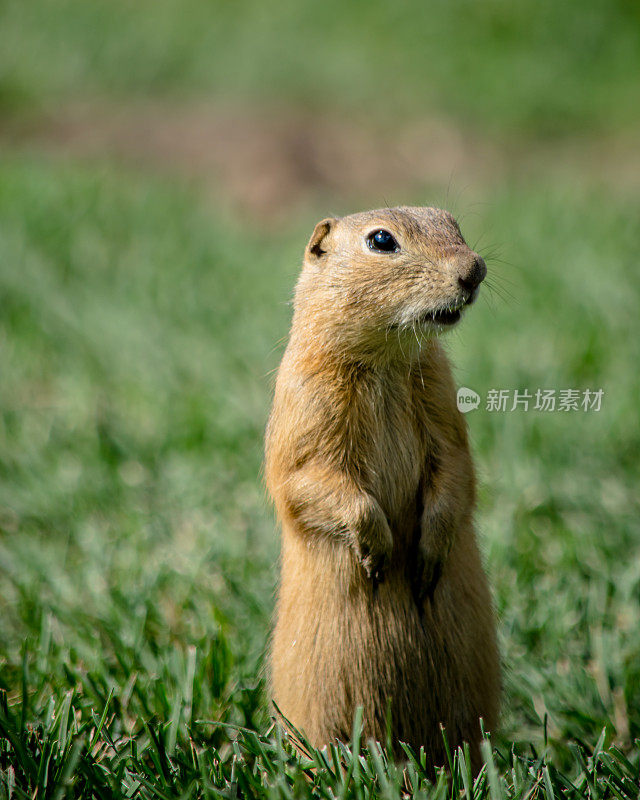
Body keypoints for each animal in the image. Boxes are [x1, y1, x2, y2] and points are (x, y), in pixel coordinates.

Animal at [264, 206, 500, 768]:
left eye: (450, 220)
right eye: (381, 241)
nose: (474, 269)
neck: (386, 362)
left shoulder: (441, 402)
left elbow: (455, 468)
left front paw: (427, 558)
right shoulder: (306, 406)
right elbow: (311, 479)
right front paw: (377, 557)